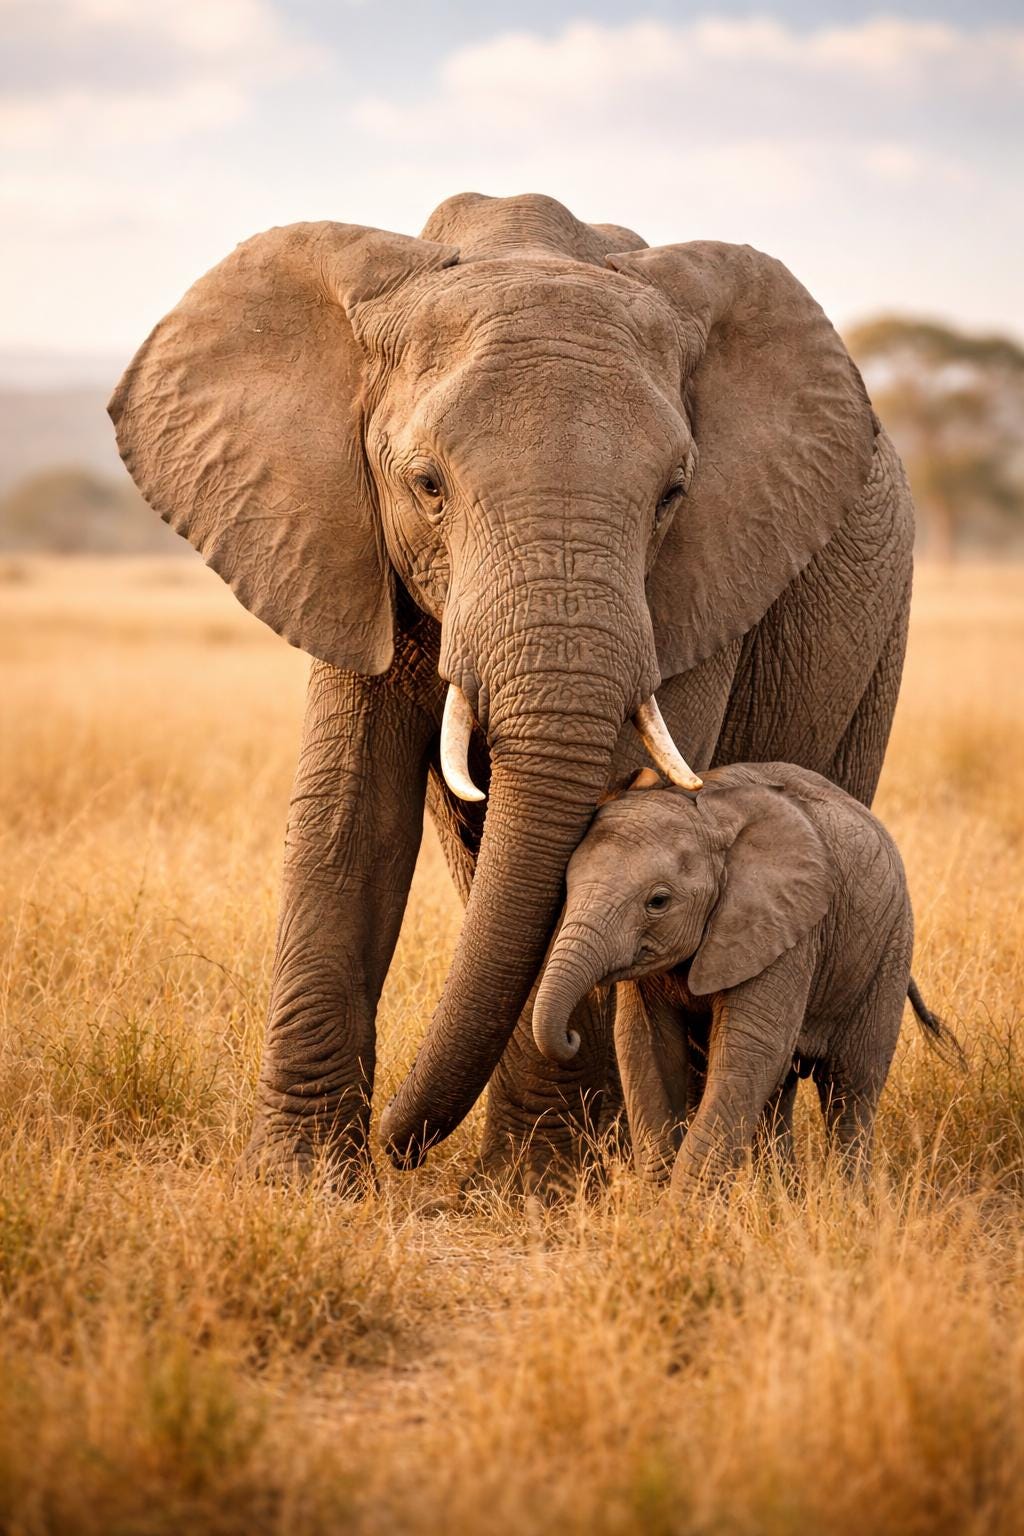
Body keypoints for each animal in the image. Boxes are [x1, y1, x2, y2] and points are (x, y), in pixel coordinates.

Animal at [532, 765, 954, 1194]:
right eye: (566, 890)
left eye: (658, 902)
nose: (571, 1036)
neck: (709, 819)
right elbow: (645, 1046)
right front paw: (658, 1201)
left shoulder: (784, 931)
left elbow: (748, 1050)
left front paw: (682, 1208)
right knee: (780, 1093)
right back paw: (783, 1197)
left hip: (889, 949)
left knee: (851, 1087)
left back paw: (851, 1199)